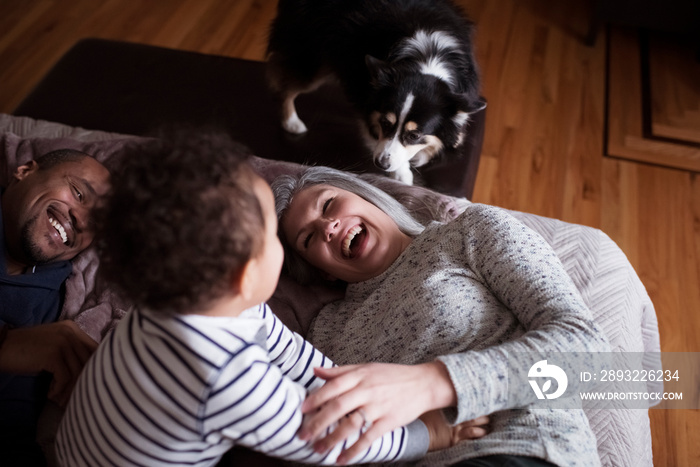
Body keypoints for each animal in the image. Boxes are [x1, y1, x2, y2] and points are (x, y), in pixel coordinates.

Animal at [266, 0, 484, 186]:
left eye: (414, 135)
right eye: (385, 123)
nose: (381, 164)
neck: (426, 62)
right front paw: (402, 174)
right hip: (310, 58)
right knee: (286, 86)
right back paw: (291, 122)